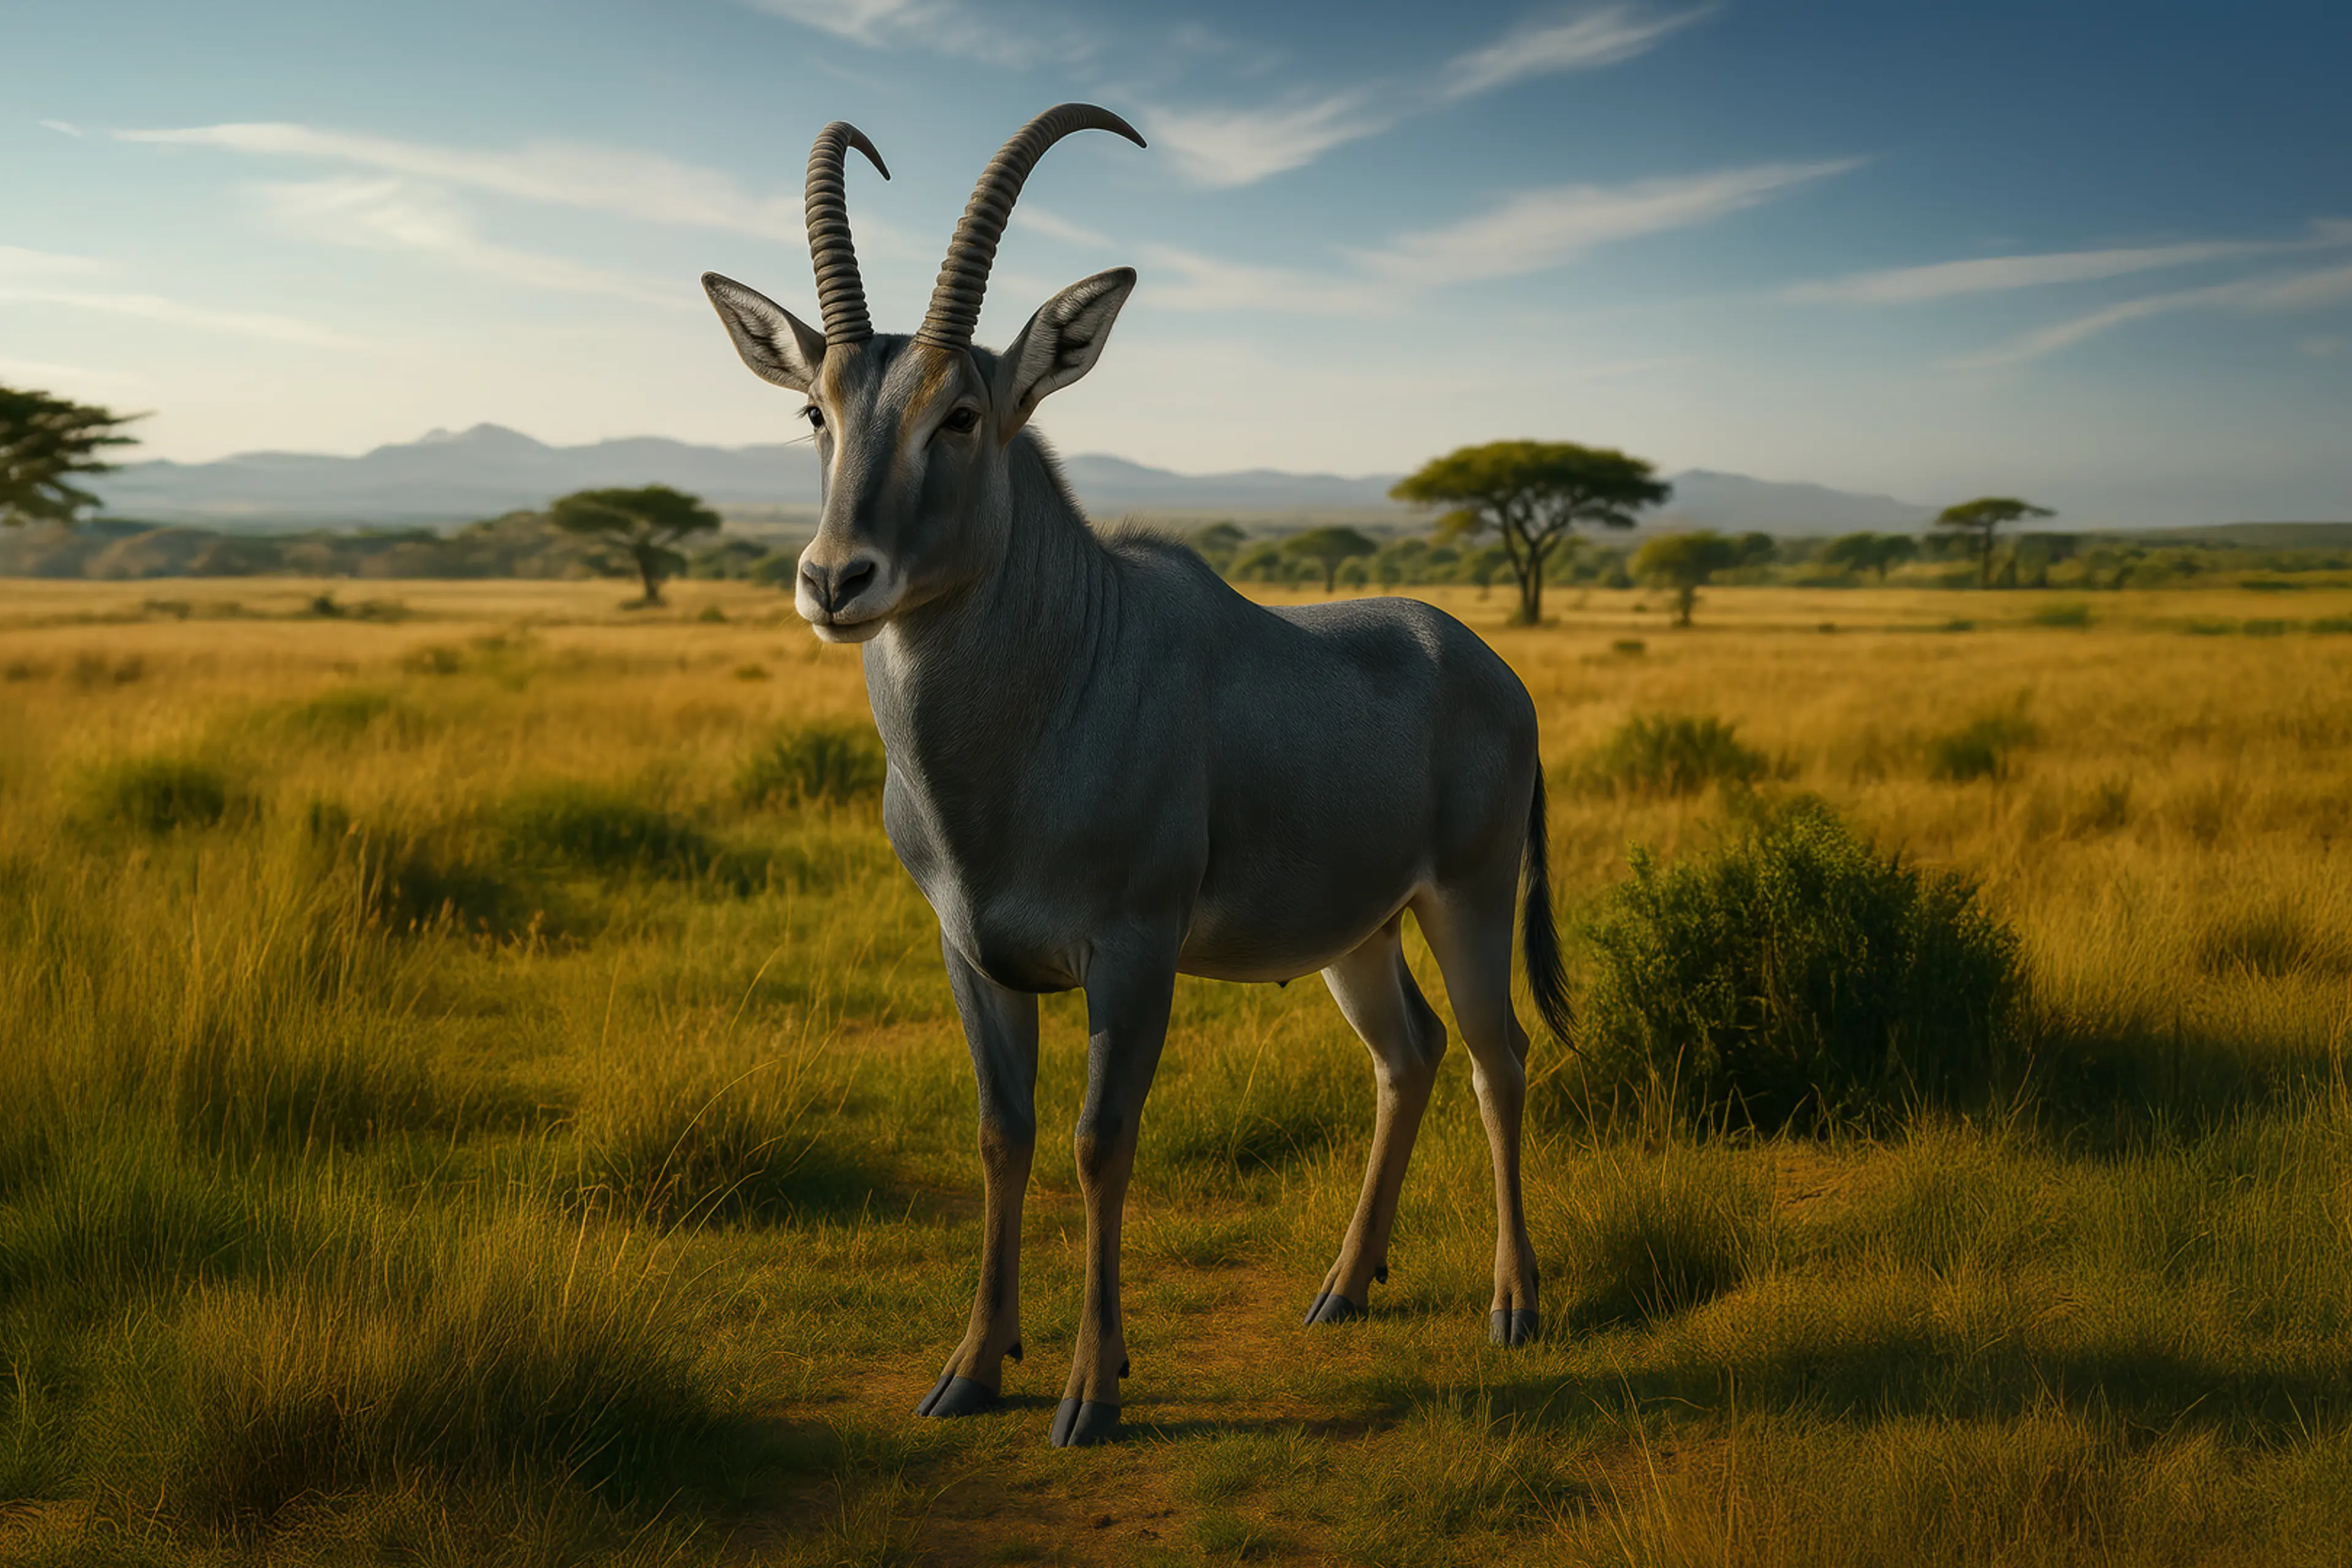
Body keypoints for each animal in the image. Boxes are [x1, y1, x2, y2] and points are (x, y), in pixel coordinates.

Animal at [702, 105, 1572, 1448]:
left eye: (963, 413)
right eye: (817, 410)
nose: (836, 579)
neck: (1045, 696)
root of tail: (1487, 664)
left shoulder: (1135, 951)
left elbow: (1100, 1143)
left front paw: (1091, 1391)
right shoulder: (971, 953)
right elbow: (1002, 1135)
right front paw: (972, 1369)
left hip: (1466, 902)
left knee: (1499, 1056)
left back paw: (1512, 1306)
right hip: (1361, 933)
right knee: (1409, 1053)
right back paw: (1343, 1287)